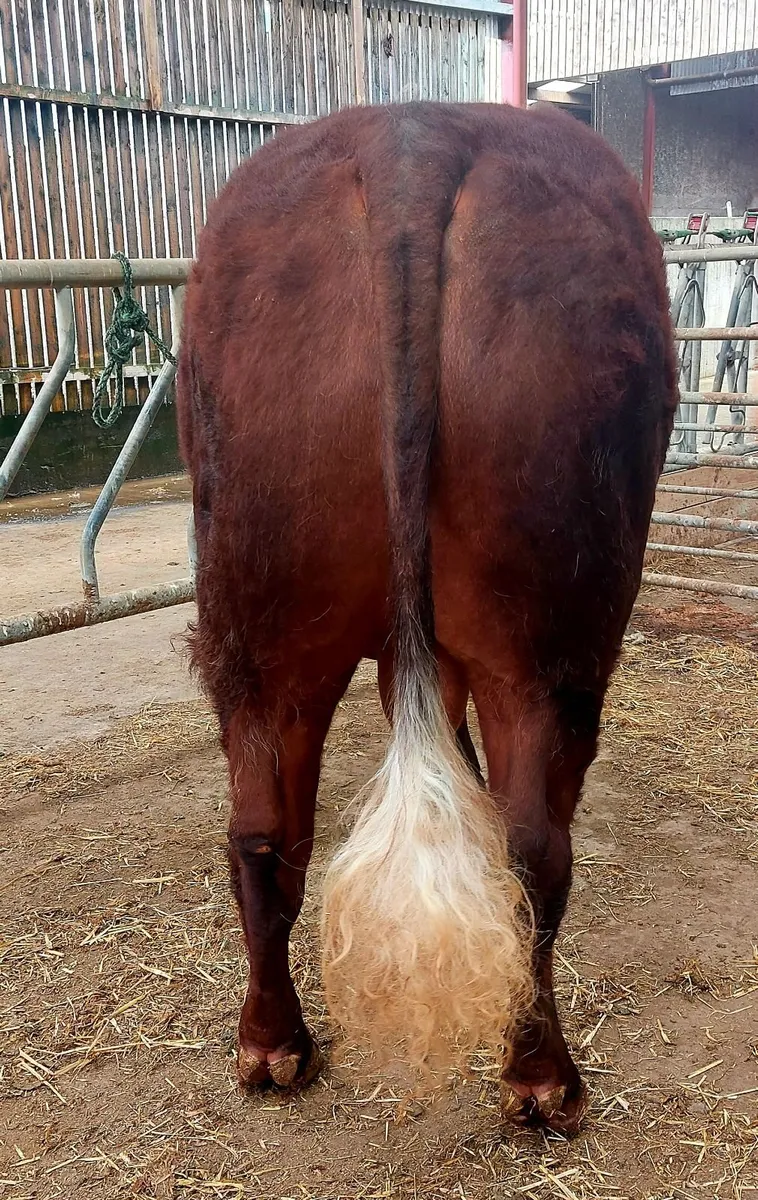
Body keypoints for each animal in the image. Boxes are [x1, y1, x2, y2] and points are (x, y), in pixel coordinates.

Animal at [176, 101, 676, 1136]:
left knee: (264, 832)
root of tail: (409, 138)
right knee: (535, 848)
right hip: (556, 623)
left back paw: (273, 1048)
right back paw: (541, 1079)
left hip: (261, 609)